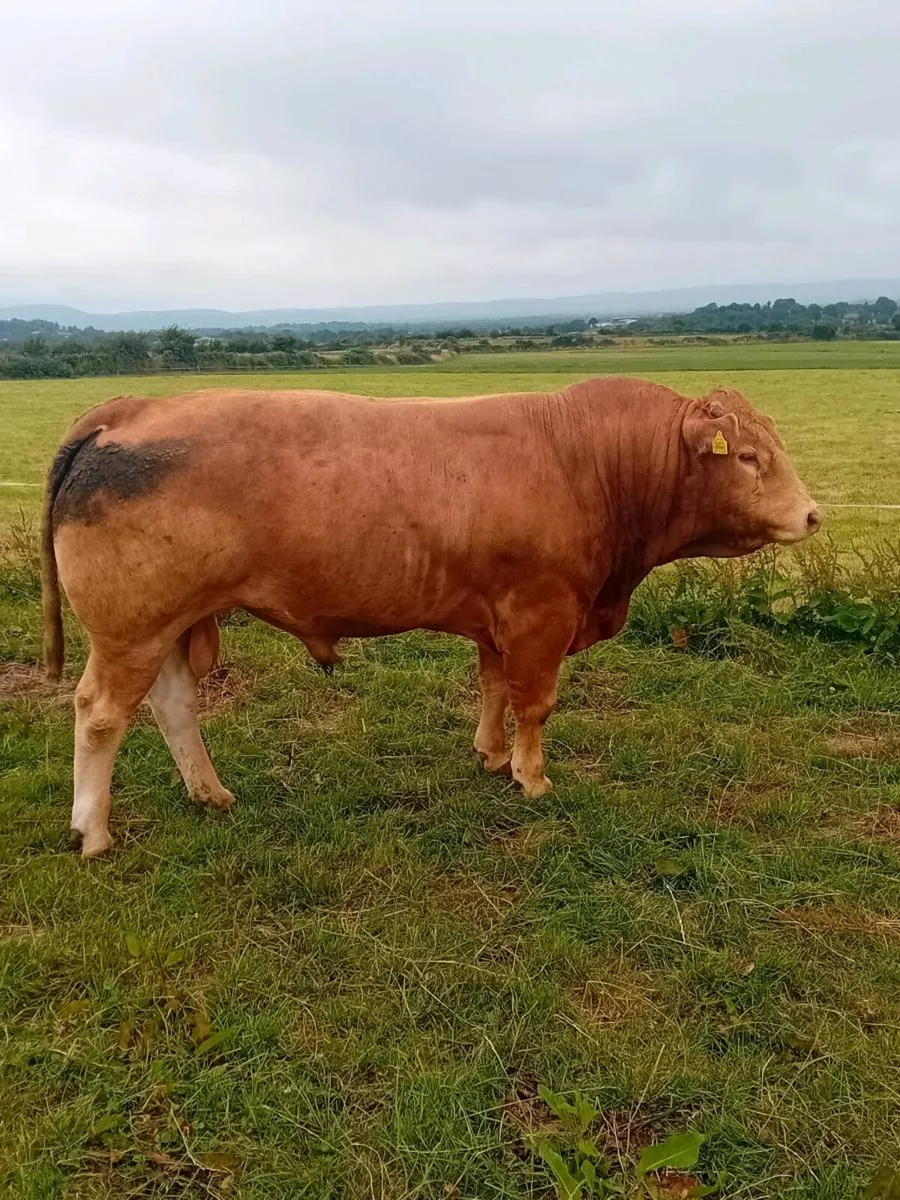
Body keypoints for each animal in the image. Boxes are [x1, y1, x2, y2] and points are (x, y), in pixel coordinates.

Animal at [40, 376, 821, 856]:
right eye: (747, 456)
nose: (813, 514)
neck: (588, 459)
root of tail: (129, 408)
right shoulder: (542, 612)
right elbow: (534, 701)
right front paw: (531, 776)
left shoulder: (500, 616)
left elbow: (494, 687)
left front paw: (491, 754)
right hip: (132, 628)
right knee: (100, 714)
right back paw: (92, 830)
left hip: (173, 623)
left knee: (172, 706)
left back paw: (210, 793)